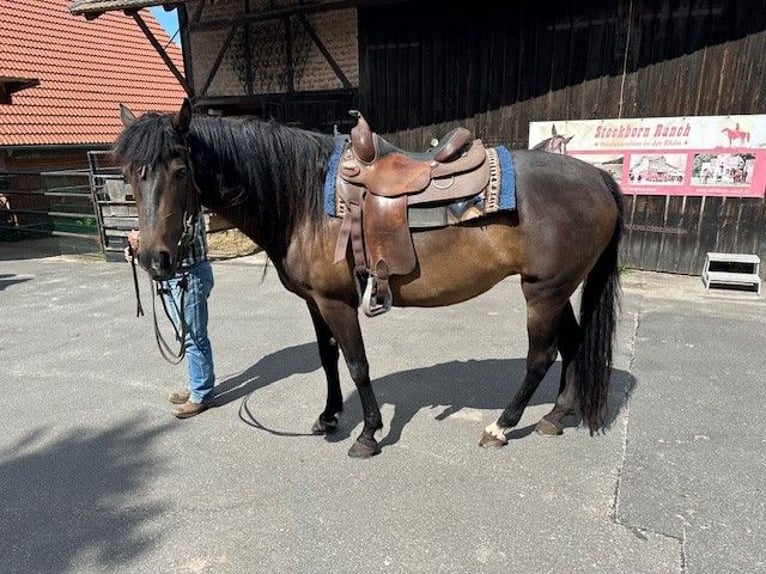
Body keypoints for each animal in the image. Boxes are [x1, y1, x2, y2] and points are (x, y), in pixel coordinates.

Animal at [117, 99, 628, 460]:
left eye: (180, 169)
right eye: (128, 175)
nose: (155, 259)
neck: (305, 199)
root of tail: (598, 178)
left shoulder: (337, 302)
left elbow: (357, 363)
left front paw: (367, 433)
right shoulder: (316, 301)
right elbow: (328, 358)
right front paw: (328, 417)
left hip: (543, 292)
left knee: (541, 357)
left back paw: (501, 426)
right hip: (556, 289)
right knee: (572, 344)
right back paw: (556, 416)